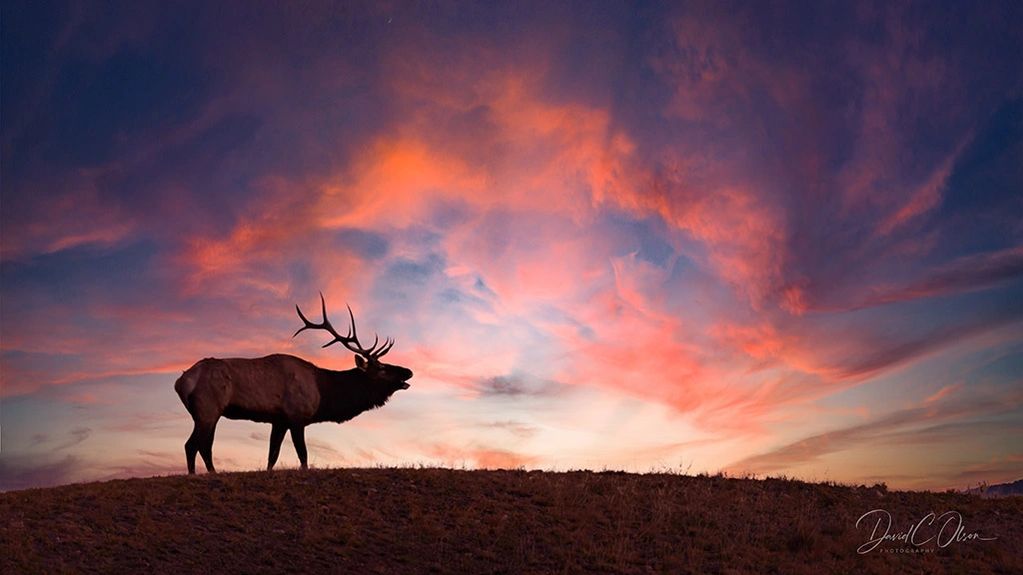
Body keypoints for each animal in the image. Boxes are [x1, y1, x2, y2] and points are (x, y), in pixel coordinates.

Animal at [174, 292, 411, 472]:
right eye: (381, 368)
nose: (408, 371)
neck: (323, 393)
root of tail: (181, 381)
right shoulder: (297, 415)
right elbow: (303, 455)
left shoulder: (279, 420)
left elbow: (272, 455)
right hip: (208, 408)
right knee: (193, 445)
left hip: (208, 413)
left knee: (203, 445)